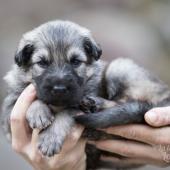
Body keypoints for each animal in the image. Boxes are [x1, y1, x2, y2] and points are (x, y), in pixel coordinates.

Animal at [0, 19, 170, 169]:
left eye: (75, 61)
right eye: (42, 63)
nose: (59, 89)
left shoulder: (77, 104)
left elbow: (65, 115)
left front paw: (50, 138)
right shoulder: (9, 113)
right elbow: (30, 98)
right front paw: (38, 112)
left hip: (119, 67)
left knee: (132, 102)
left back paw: (97, 104)